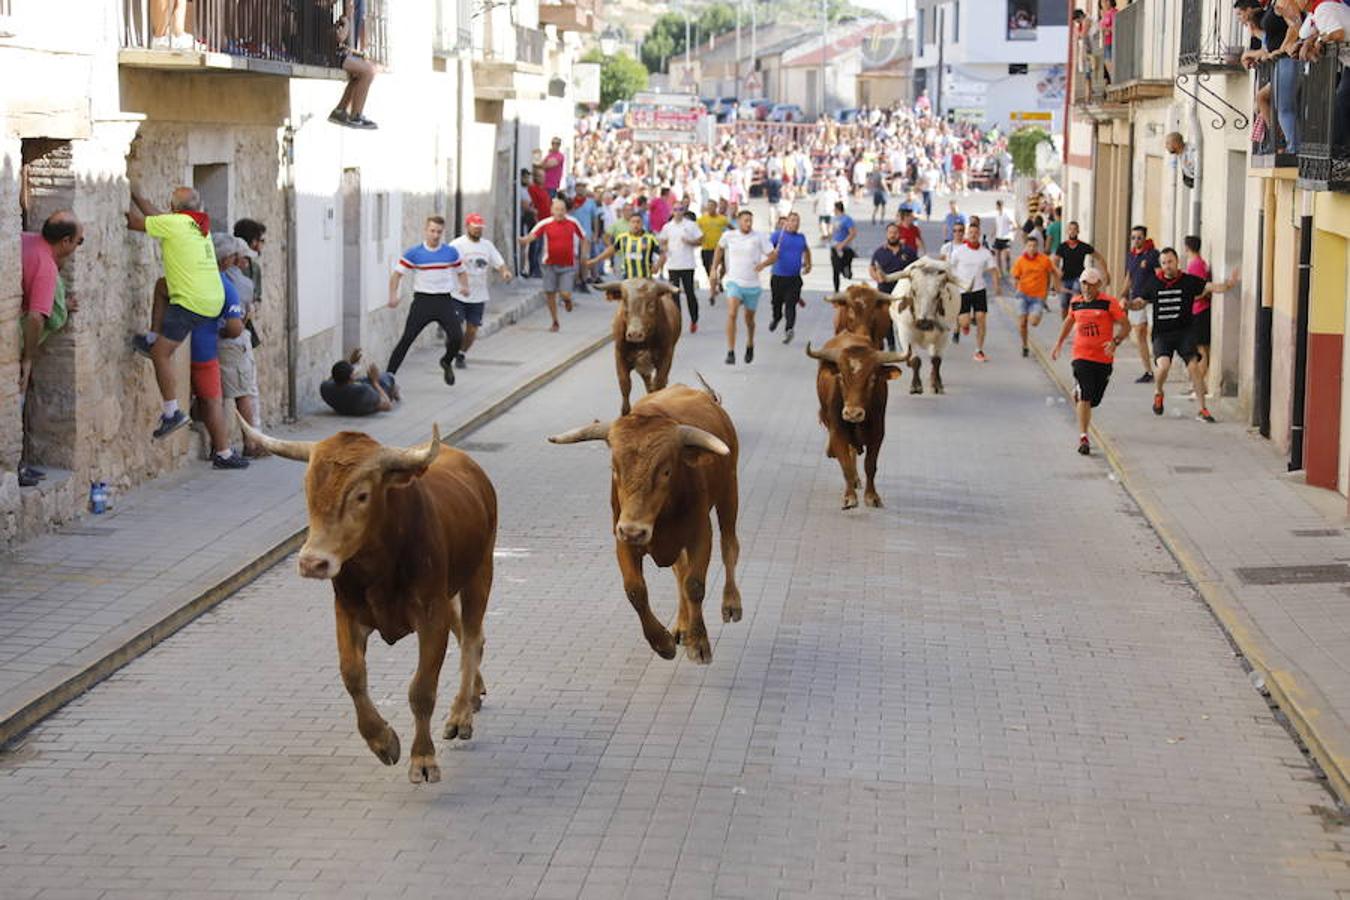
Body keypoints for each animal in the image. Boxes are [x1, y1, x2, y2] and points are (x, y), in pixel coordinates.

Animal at [241, 418, 496, 782]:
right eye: (308, 490)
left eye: (361, 495)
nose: (312, 562)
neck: (380, 563)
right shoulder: (347, 612)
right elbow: (352, 675)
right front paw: (382, 741)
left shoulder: (431, 615)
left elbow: (421, 689)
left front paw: (423, 757)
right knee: (465, 635)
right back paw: (474, 693)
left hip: (479, 572)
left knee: (473, 639)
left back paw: (460, 715)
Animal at [545, 377, 739, 666]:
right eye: (614, 469)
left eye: (666, 471)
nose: (634, 531)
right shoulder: (622, 540)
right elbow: (636, 590)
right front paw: (663, 643)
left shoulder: (700, 536)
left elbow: (694, 584)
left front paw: (699, 643)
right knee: (680, 571)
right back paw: (681, 626)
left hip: (729, 493)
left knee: (730, 547)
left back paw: (731, 604)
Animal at [604, 277, 685, 415]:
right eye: (624, 302)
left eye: (651, 304)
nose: (635, 334)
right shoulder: (620, 356)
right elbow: (625, 385)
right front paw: (625, 413)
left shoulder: (666, 357)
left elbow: (659, 383)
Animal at [804, 333, 912, 512]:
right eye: (841, 377)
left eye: (873, 379)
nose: (853, 413)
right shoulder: (837, 432)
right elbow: (846, 464)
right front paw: (850, 497)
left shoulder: (878, 434)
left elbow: (870, 465)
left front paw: (872, 496)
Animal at [891, 255, 966, 391]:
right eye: (914, 291)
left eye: (938, 294)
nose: (924, 322)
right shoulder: (905, 333)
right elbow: (915, 360)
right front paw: (916, 386)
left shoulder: (944, 335)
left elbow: (936, 360)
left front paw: (936, 385)